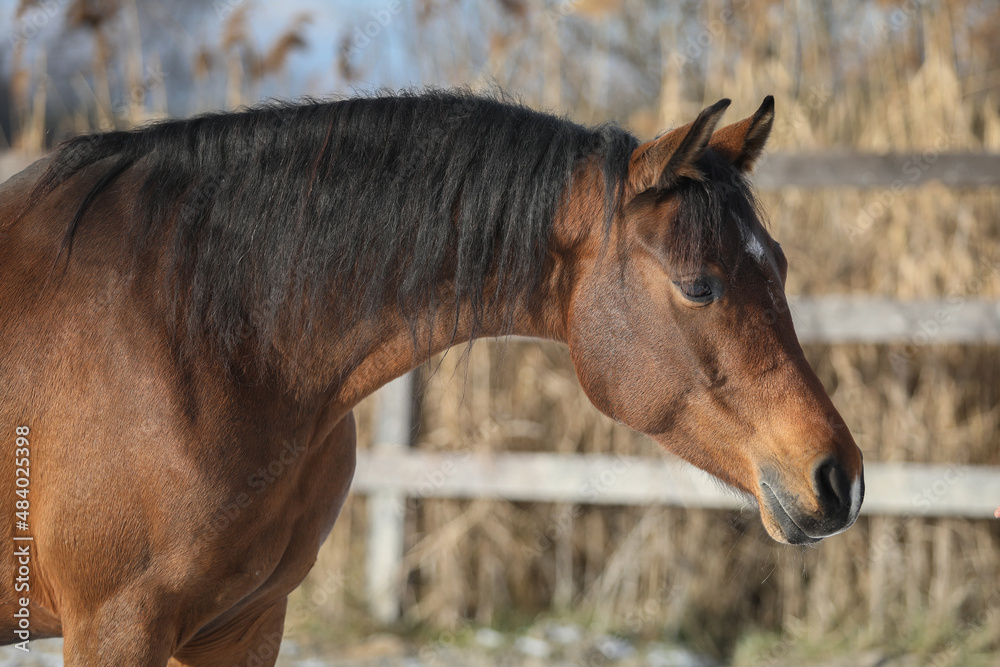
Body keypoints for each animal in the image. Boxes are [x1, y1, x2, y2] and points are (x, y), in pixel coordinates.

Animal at [0, 90, 863, 665]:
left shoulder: (244, 623)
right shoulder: (119, 626)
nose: (839, 477)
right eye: (699, 285)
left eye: (781, 267)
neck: (195, 331)